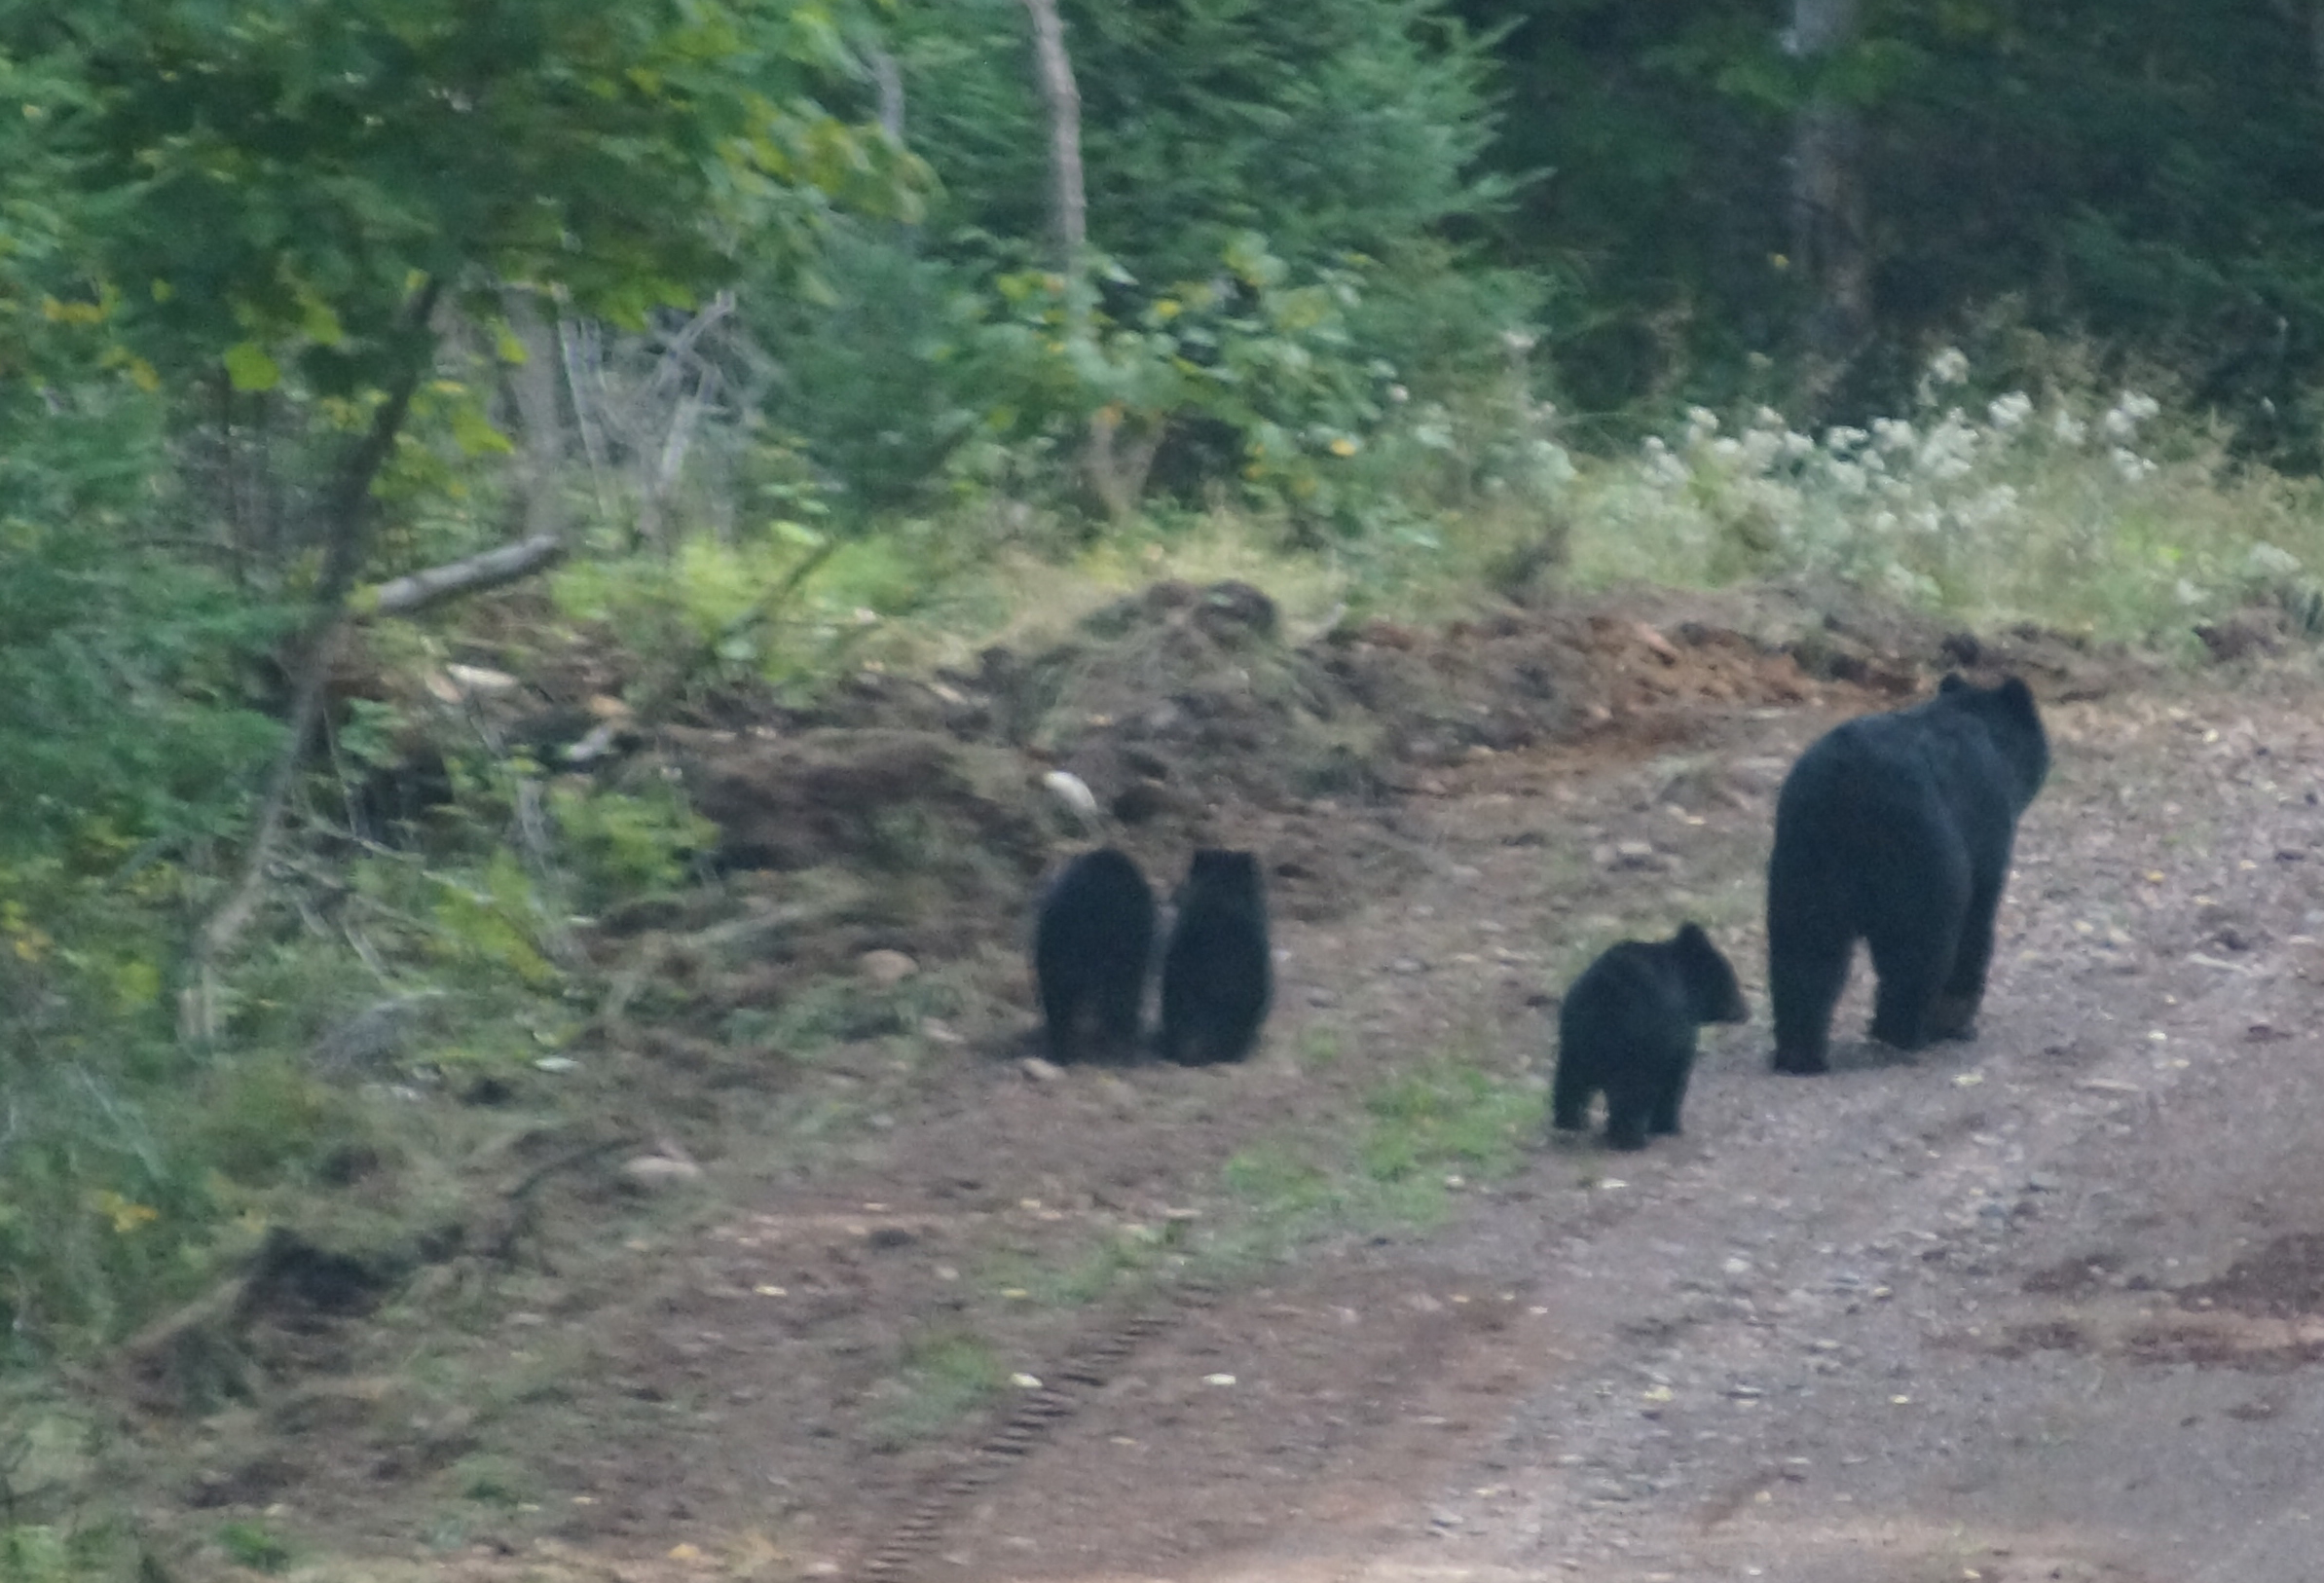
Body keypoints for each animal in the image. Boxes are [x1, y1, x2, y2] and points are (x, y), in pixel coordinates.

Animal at [1562, 915, 1748, 1148]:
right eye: (1731, 980)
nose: (1745, 1011)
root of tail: (1603, 996)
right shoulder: (1677, 1031)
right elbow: (1675, 1077)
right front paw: (1668, 1126)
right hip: (1637, 1047)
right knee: (1633, 1092)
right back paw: (1631, 1138)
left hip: (1574, 1038)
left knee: (1569, 1082)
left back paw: (1570, 1122)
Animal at [1756, 669, 2054, 1074]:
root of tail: (1848, 785)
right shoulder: (1985, 817)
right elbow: (1978, 917)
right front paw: (1959, 1021)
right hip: (1919, 853)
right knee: (1917, 946)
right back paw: (1904, 1035)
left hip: (1803, 858)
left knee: (1805, 947)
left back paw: (1800, 1054)